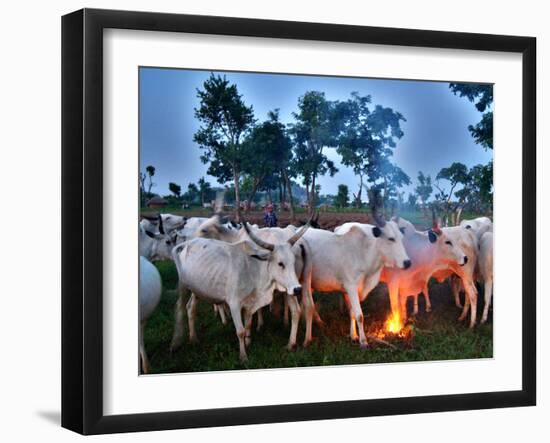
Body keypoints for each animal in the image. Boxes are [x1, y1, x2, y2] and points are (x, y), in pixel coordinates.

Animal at [306, 213, 414, 348]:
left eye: (401, 237)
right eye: (391, 238)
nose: (407, 262)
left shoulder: (355, 290)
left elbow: (353, 312)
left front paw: (354, 335)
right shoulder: (351, 287)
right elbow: (359, 315)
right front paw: (363, 341)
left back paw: (319, 321)